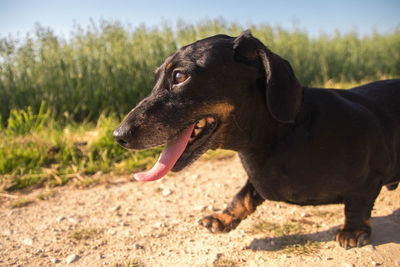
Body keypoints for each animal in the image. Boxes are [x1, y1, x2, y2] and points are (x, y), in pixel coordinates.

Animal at [113, 30, 400, 249]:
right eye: (156, 78)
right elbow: (244, 194)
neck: (284, 136)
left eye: (179, 76)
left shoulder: (369, 179)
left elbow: (357, 205)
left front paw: (353, 230)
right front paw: (223, 217)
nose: (118, 135)